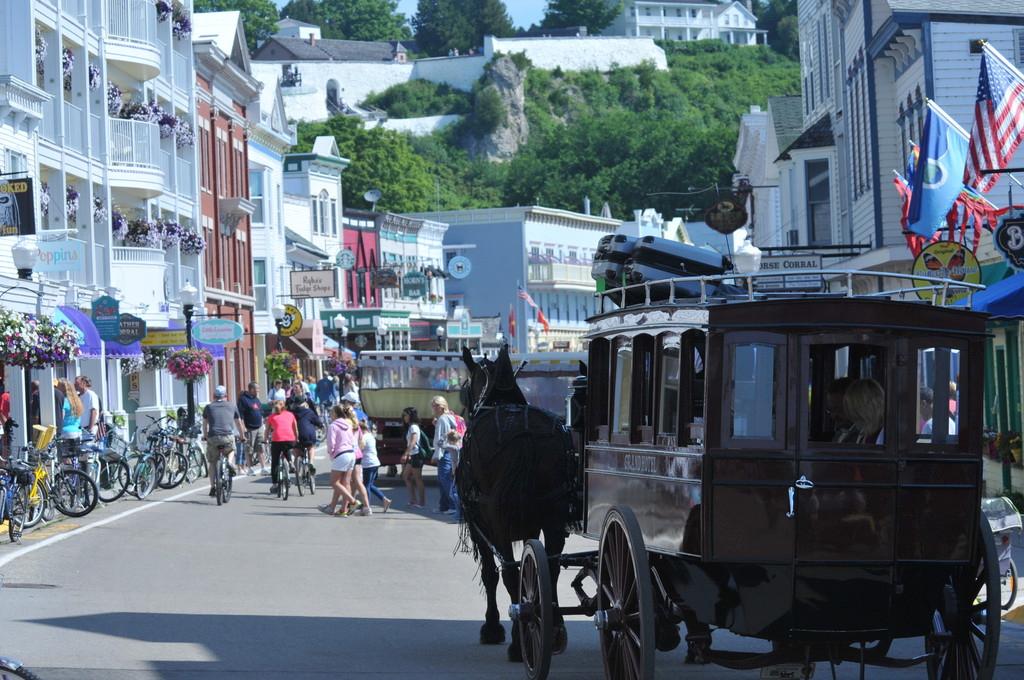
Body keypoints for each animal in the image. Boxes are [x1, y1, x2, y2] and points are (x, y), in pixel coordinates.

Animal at [460, 346, 581, 659]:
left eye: (464, 390)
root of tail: (524, 435)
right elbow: (536, 569)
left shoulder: (479, 526)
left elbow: (491, 574)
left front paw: (492, 628)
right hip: (553, 516)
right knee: (550, 568)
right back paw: (553, 629)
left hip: (498, 522)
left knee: (510, 573)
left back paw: (518, 642)